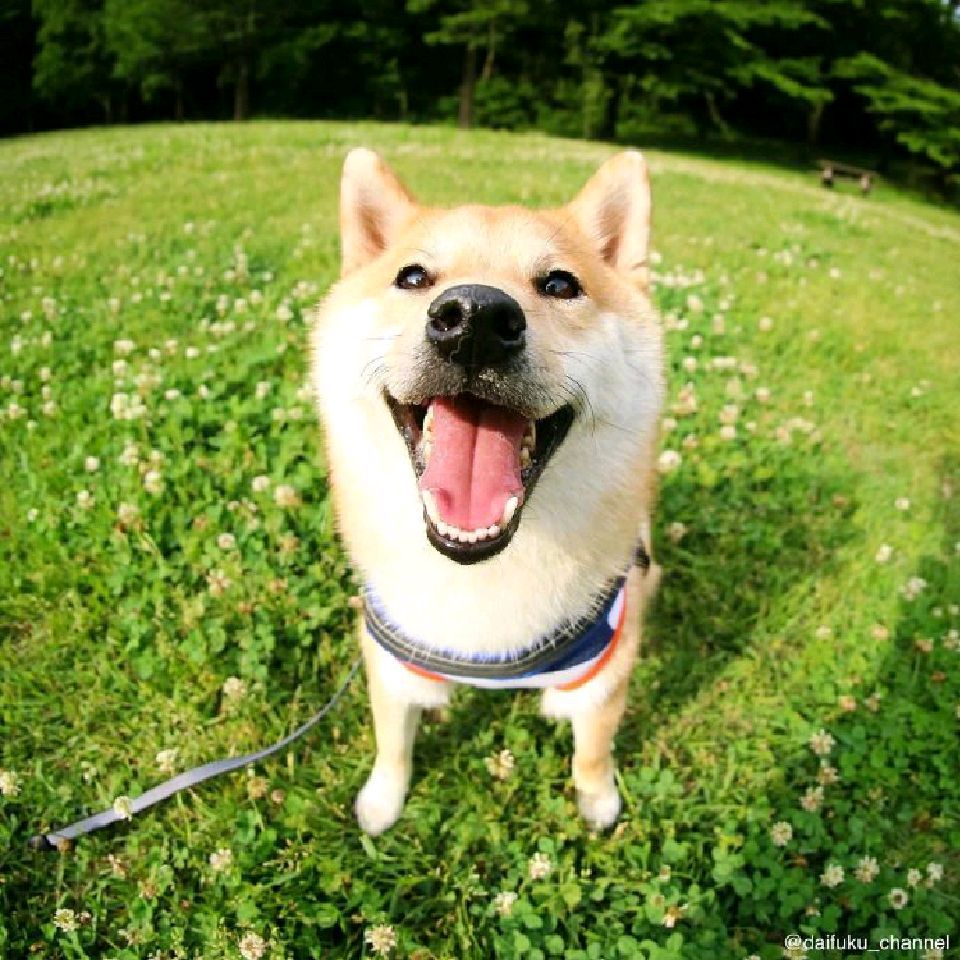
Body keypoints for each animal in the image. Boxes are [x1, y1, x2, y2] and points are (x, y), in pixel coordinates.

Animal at [310, 148, 664, 834]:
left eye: (560, 284)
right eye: (413, 276)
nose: (474, 318)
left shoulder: (603, 666)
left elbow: (593, 749)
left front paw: (597, 803)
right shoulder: (393, 655)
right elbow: (393, 744)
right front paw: (383, 802)